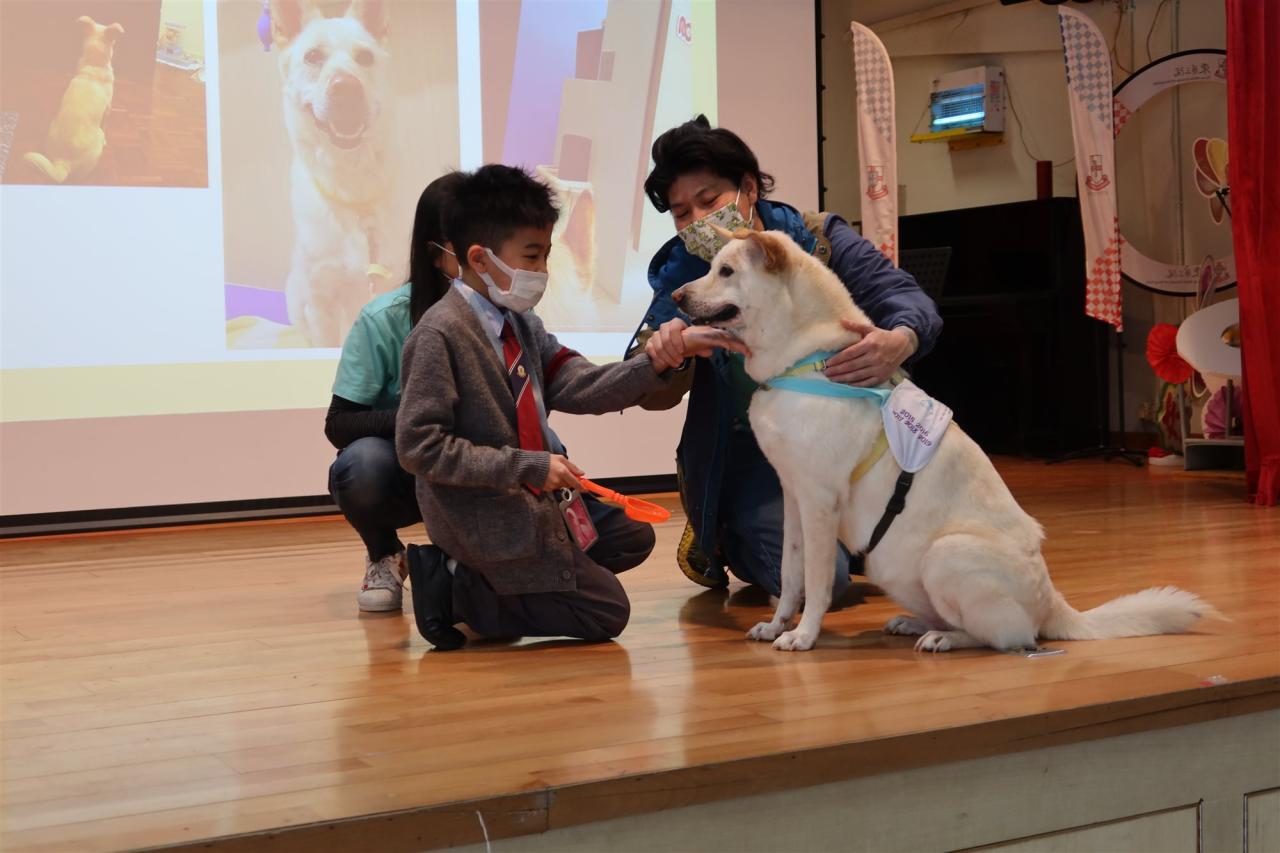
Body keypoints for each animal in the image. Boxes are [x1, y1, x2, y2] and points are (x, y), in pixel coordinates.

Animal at [675, 226, 1220, 653]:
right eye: (713, 268)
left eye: (726, 272)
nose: (677, 298)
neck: (805, 357)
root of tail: (1054, 604)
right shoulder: (794, 497)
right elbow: (791, 575)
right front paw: (776, 625)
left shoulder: (820, 502)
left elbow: (817, 582)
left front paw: (803, 637)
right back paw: (914, 623)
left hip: (947, 555)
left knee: (1011, 637)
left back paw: (944, 638)